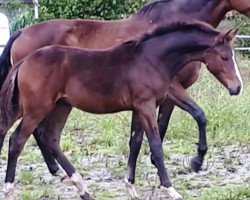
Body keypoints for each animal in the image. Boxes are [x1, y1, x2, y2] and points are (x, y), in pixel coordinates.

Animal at [0, 0, 248, 195]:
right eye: (225, 57)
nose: (237, 87)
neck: (150, 58)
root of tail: (26, 59)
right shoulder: (149, 104)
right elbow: (157, 144)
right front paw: (172, 187)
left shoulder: (141, 107)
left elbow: (136, 141)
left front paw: (131, 186)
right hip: (36, 108)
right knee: (17, 140)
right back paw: (12, 188)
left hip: (60, 106)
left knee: (49, 137)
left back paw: (80, 186)